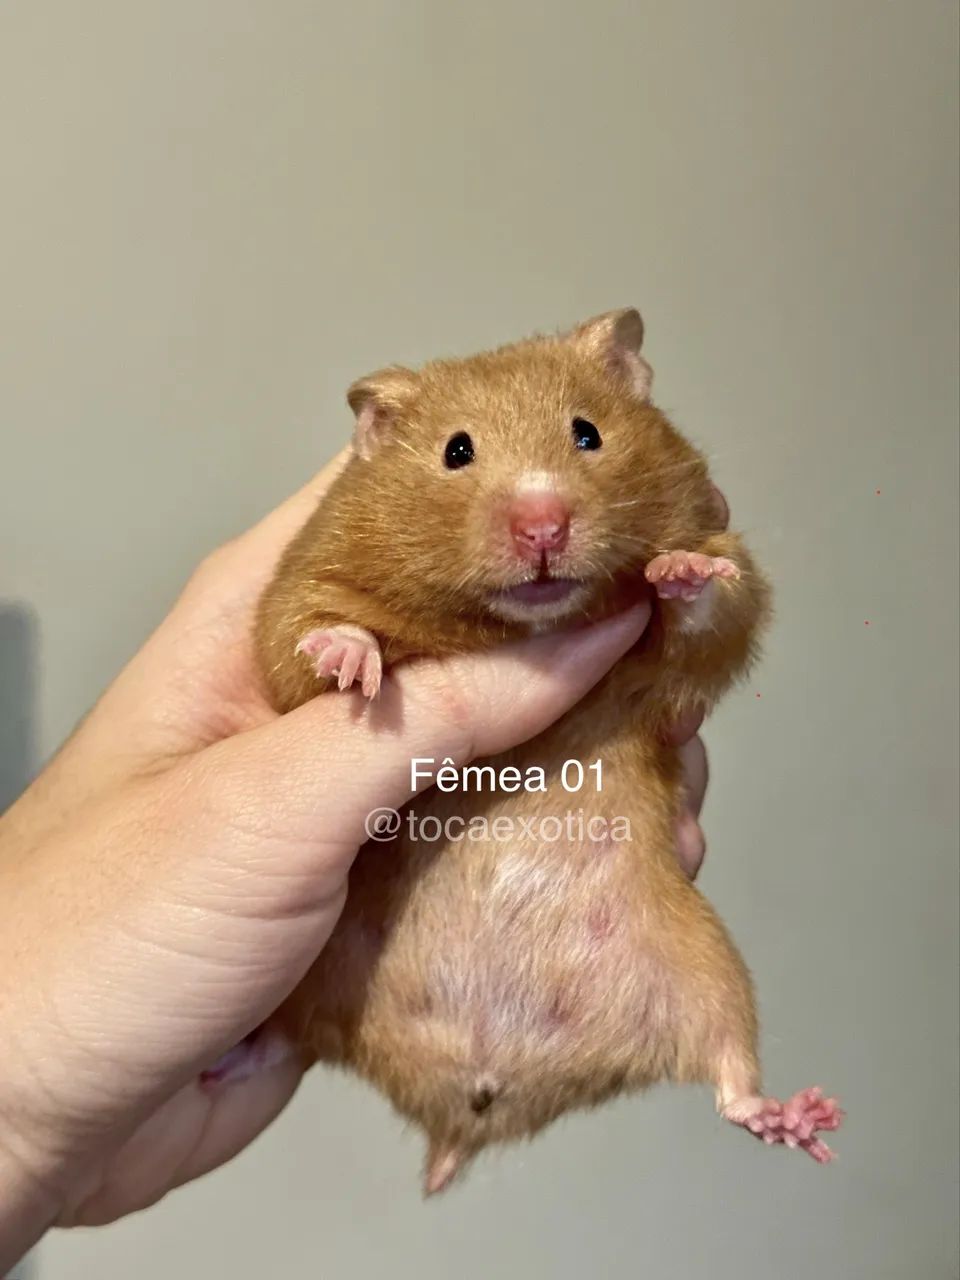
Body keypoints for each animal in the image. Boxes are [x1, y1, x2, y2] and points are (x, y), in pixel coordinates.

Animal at [255, 309, 843, 1194]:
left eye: (587, 433)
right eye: (456, 451)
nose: (543, 527)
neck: (514, 624)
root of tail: (477, 1099)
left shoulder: (706, 618)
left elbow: (719, 605)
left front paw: (678, 569)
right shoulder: (304, 577)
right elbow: (299, 639)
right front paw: (350, 660)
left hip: (703, 962)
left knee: (730, 1067)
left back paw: (799, 1119)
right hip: (311, 973)